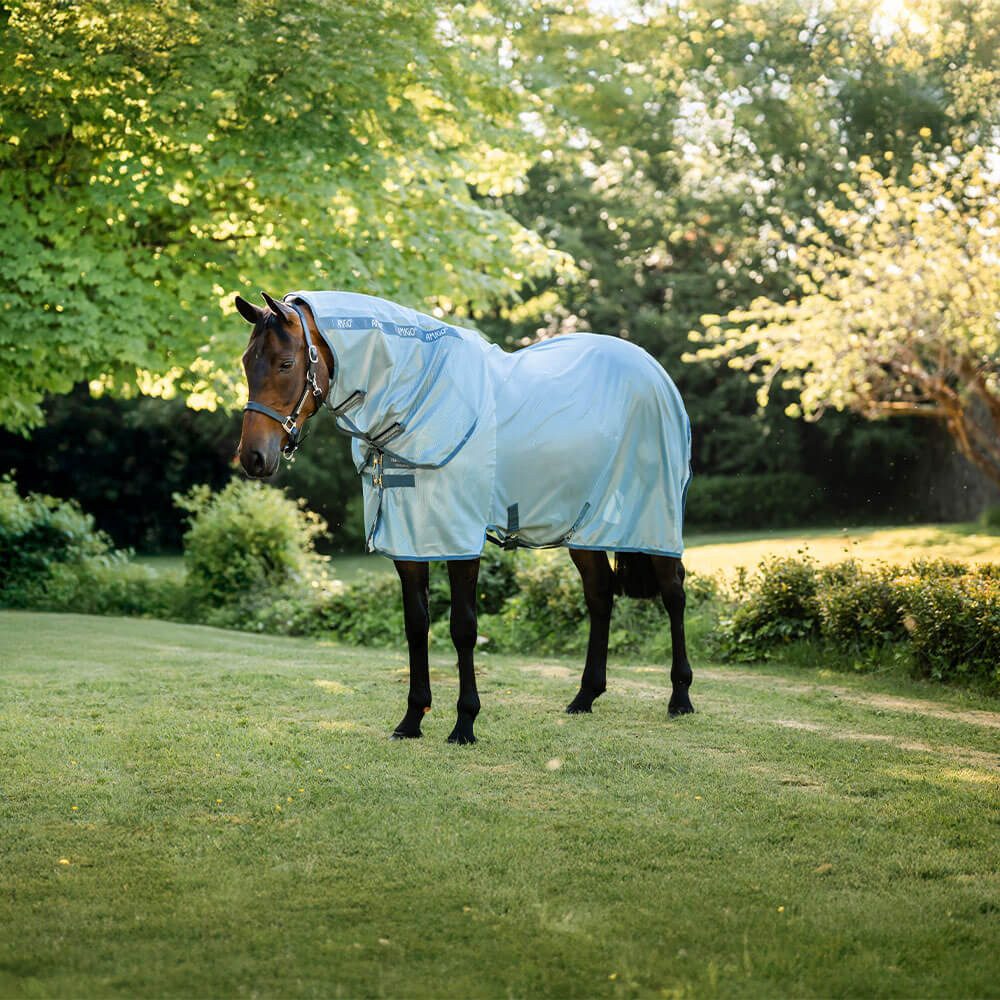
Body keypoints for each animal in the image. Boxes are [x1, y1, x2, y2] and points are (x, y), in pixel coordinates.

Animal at [236, 289, 694, 744]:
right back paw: (585, 696)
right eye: (245, 362)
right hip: (583, 529)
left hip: (654, 520)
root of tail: (654, 371)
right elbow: (416, 624)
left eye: (286, 363)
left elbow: (463, 628)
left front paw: (465, 723)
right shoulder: (409, 541)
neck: (425, 399)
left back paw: (680, 697)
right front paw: (412, 720)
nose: (253, 457)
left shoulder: (459, 539)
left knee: (673, 593)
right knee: (600, 593)